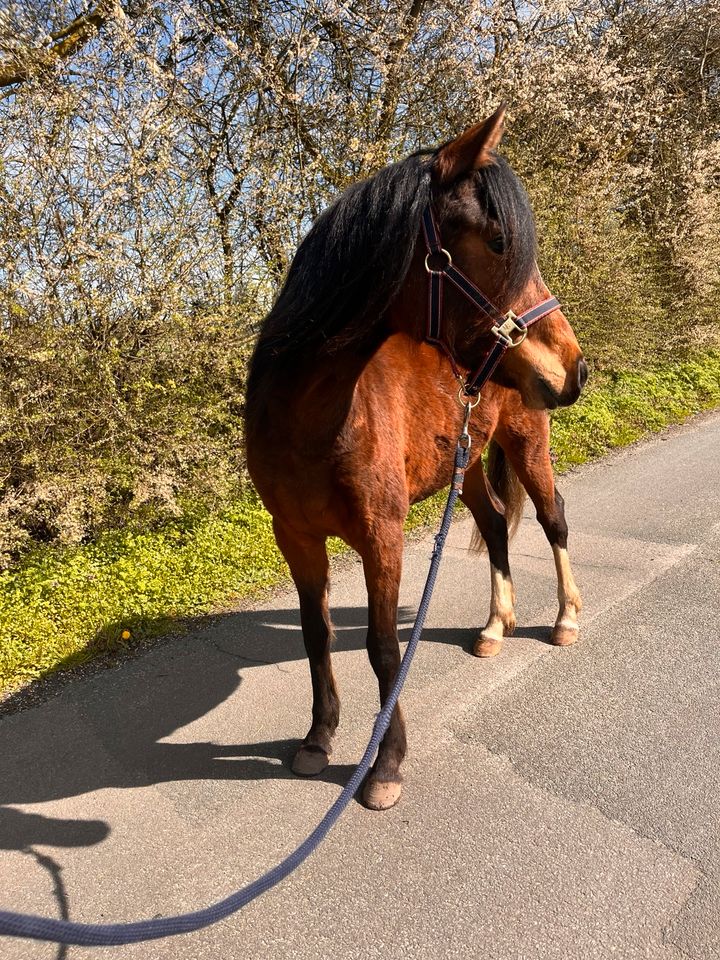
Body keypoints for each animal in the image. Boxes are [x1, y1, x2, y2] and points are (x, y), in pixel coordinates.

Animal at [245, 107, 588, 808]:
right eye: (499, 242)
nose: (575, 368)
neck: (309, 417)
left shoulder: (383, 534)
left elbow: (383, 647)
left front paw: (385, 765)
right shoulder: (294, 534)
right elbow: (316, 631)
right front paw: (318, 737)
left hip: (526, 444)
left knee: (554, 519)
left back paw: (565, 618)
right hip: (469, 461)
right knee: (494, 526)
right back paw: (494, 627)